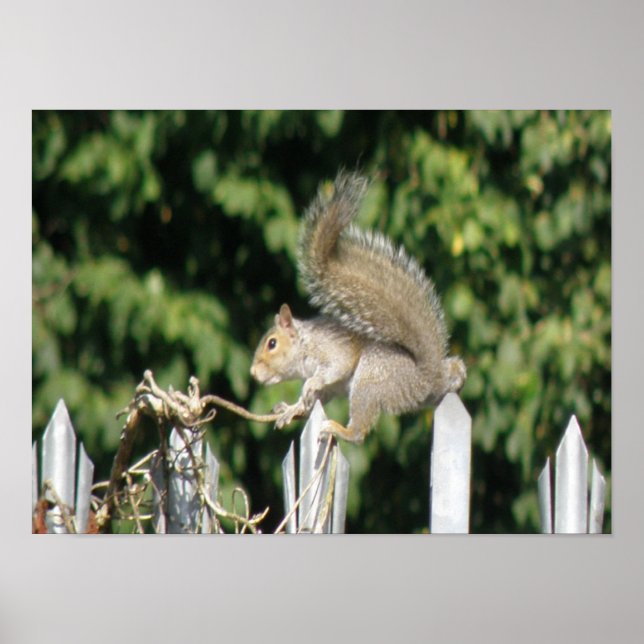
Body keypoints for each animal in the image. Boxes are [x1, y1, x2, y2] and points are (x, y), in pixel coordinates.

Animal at [250, 170, 466, 444]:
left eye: (272, 343)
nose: (253, 372)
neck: (304, 344)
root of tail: (426, 379)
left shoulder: (332, 349)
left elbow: (334, 367)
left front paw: (311, 383)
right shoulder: (330, 389)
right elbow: (311, 400)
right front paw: (291, 409)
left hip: (370, 381)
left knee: (359, 433)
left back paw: (339, 429)